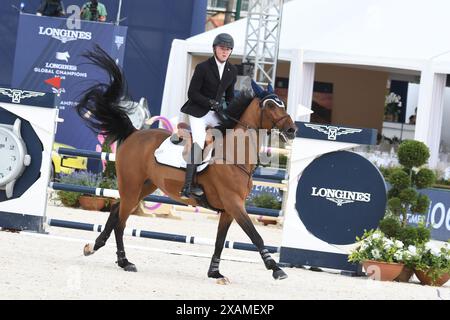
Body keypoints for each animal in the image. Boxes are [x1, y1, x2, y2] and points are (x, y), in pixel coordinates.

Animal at [75, 45, 298, 282]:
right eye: (271, 106)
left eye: (282, 104)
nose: (292, 130)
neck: (234, 154)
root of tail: (135, 133)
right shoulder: (234, 204)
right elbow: (256, 236)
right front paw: (276, 268)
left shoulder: (229, 210)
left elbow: (220, 242)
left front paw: (215, 272)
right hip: (131, 185)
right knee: (121, 221)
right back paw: (125, 261)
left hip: (144, 186)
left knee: (116, 211)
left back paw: (95, 248)